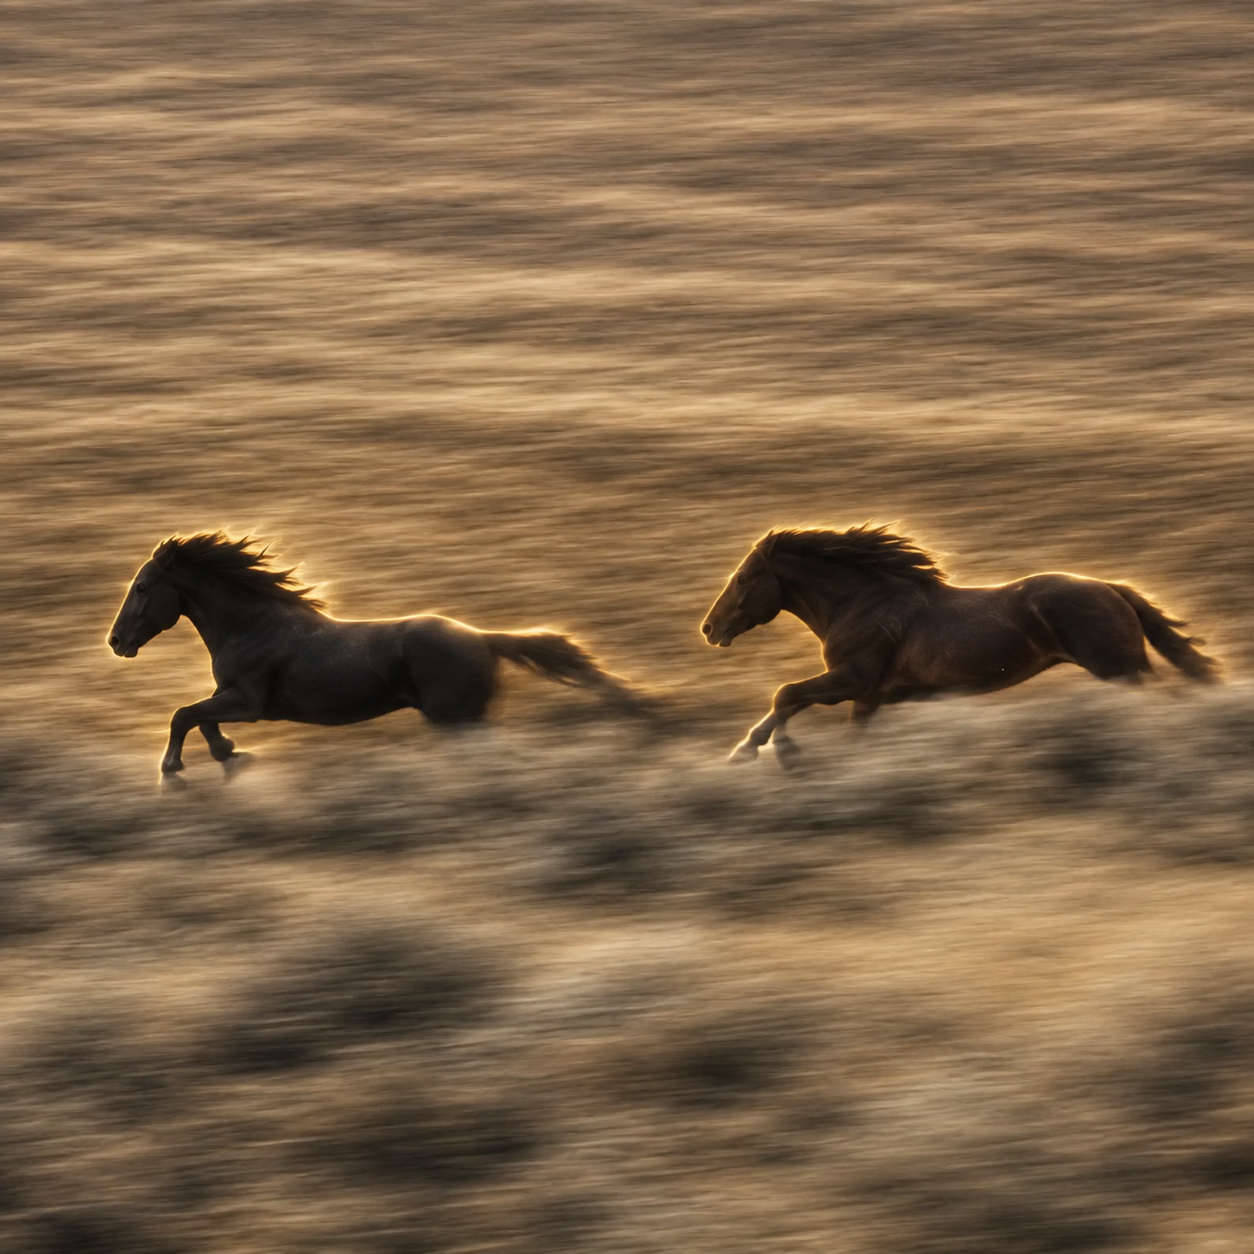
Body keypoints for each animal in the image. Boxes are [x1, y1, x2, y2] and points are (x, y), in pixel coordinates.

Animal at [109, 532, 644, 776]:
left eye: (142, 588)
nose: (115, 642)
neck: (252, 626)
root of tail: (482, 636)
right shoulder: (233, 698)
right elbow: (200, 717)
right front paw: (227, 752)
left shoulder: (251, 702)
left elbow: (184, 714)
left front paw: (170, 767)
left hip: (457, 719)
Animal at [701, 523, 1219, 767]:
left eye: (744, 578)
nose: (709, 628)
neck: (864, 601)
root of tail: (1113, 589)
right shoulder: (869, 697)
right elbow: (836, 727)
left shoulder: (854, 679)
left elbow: (786, 694)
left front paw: (765, 752)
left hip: (1120, 669)